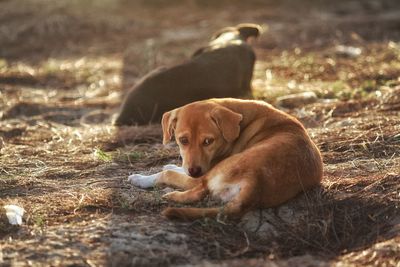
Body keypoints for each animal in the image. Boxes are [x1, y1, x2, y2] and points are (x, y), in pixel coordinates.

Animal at [136, 98, 324, 222]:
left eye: (208, 141)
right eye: (183, 140)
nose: (194, 171)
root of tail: (256, 183)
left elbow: (169, 172)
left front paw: (143, 178)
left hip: (214, 173)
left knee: (194, 187)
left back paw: (163, 190)